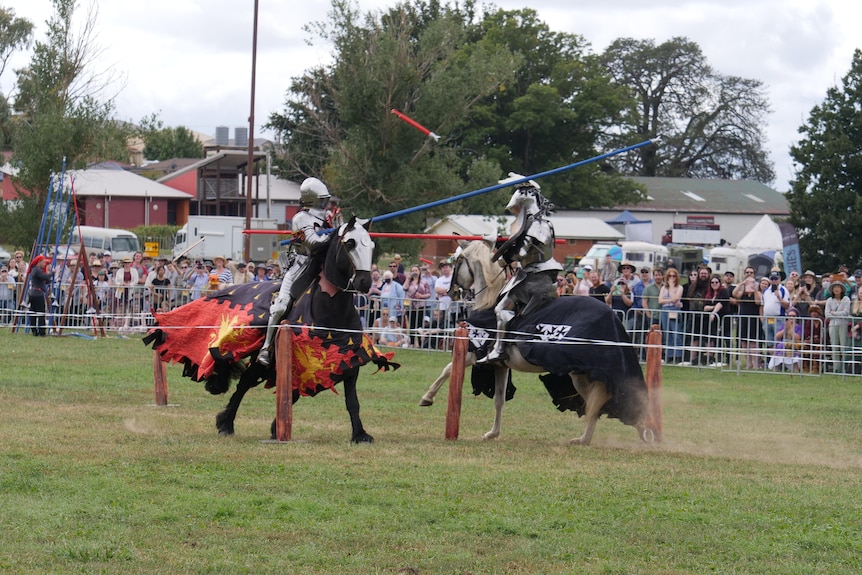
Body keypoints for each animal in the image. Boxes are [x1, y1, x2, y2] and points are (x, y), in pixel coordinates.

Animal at [422, 238, 652, 446]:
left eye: (457, 261)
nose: (452, 291)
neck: (488, 302)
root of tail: (613, 319)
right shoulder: (500, 366)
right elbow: (499, 400)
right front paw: (492, 433)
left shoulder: (472, 353)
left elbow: (448, 368)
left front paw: (427, 397)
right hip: (584, 375)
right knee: (599, 402)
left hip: (583, 375)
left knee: (596, 404)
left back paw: (591, 437)